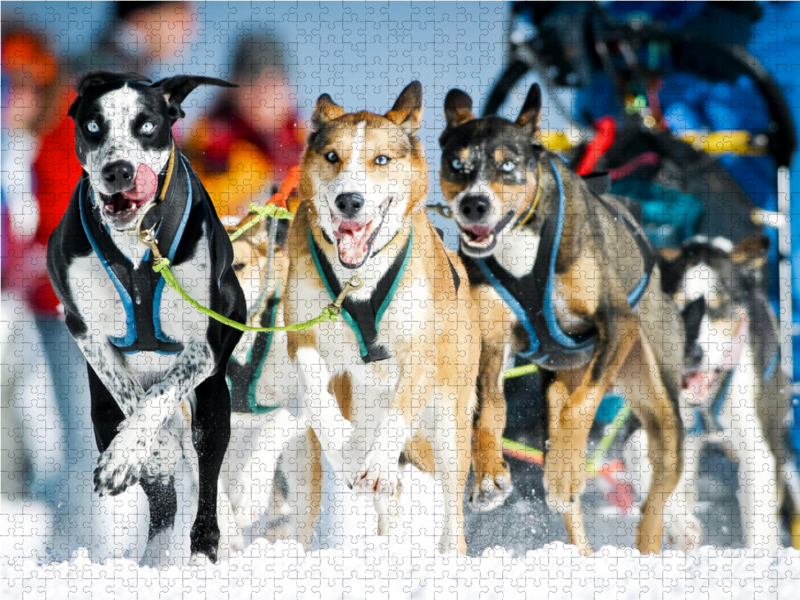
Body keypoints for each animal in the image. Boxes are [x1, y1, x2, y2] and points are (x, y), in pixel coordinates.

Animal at [47, 71, 245, 568]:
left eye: (148, 125)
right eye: (93, 126)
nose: (118, 171)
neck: (138, 246)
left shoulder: (204, 346)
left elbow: (158, 398)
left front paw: (134, 452)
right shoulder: (84, 331)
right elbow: (135, 400)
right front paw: (139, 455)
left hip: (214, 405)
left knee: (204, 466)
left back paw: (205, 547)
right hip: (99, 414)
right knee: (163, 498)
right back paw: (153, 557)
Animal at [284, 81, 478, 552]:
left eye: (382, 159)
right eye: (331, 156)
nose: (349, 201)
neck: (359, 282)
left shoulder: (418, 356)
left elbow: (398, 417)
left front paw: (376, 465)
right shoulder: (302, 337)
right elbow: (316, 395)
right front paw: (346, 448)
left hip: (450, 423)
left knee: (451, 507)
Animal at [440, 83, 684, 552]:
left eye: (508, 166)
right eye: (458, 166)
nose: (474, 205)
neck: (521, 245)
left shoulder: (616, 324)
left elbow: (582, 405)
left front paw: (567, 469)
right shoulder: (492, 337)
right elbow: (491, 407)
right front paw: (488, 475)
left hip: (659, 403)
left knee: (656, 495)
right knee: (559, 430)